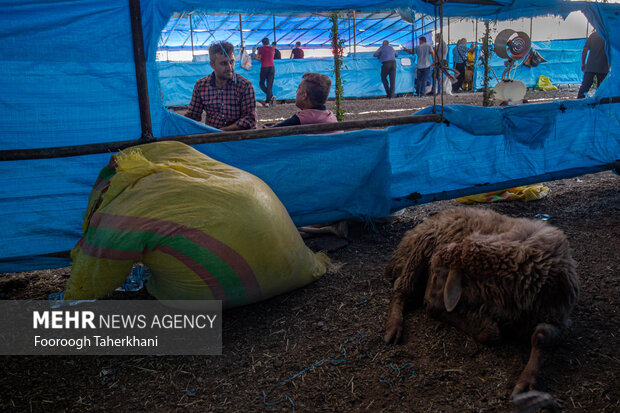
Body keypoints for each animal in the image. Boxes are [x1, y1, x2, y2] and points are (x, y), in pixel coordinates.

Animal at [386, 208, 580, 408]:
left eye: (438, 273)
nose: (427, 303)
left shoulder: (559, 319)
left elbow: (540, 337)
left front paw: (528, 379)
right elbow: (490, 332)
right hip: (419, 249)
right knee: (400, 292)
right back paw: (394, 328)